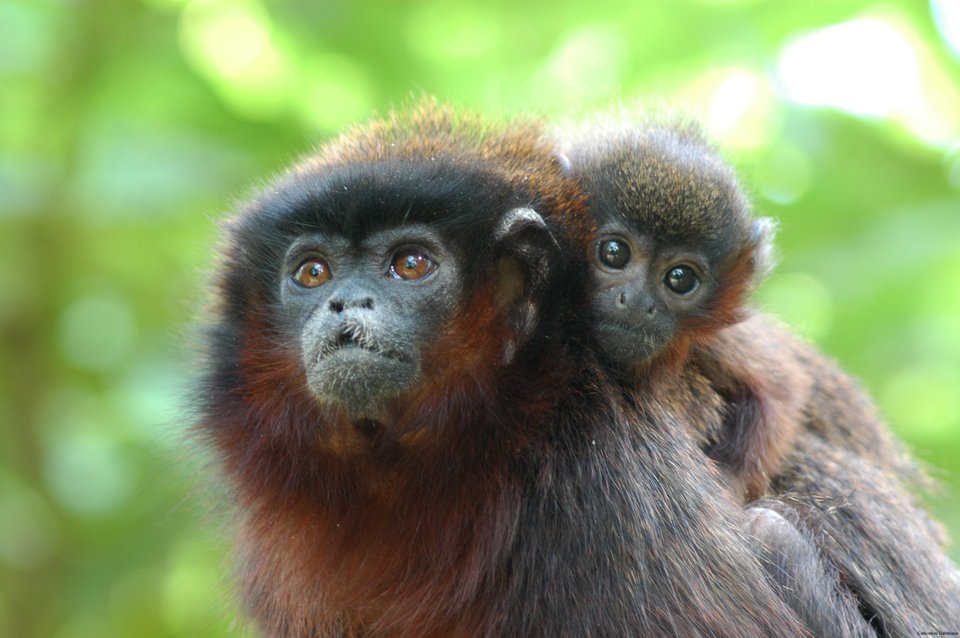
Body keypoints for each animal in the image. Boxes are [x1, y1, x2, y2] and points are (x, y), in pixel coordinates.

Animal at [555, 117, 960, 634]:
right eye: (613, 252)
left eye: (680, 279)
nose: (637, 303)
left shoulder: (713, 336)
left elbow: (781, 386)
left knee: (770, 533)